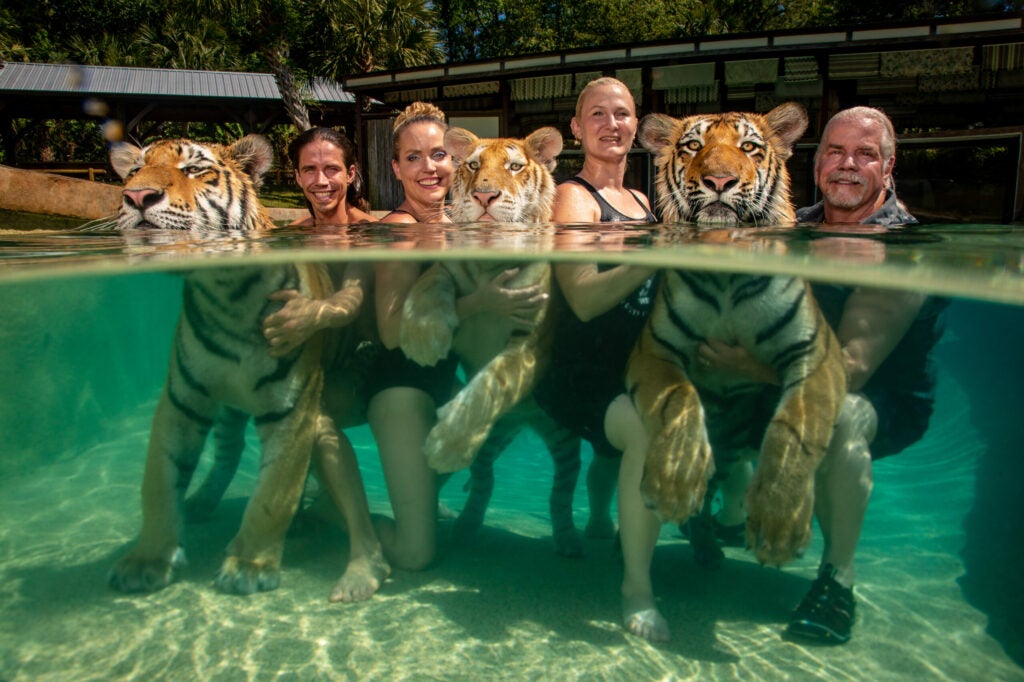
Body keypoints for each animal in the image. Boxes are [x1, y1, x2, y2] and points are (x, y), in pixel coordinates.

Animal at [109, 135, 335, 593]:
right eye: (134, 171)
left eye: (194, 169)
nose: (137, 196)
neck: (229, 292)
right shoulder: (181, 401)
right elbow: (159, 482)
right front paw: (146, 561)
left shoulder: (294, 409)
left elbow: (274, 494)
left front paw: (249, 567)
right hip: (228, 411)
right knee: (230, 452)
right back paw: (200, 502)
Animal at [399, 125, 589, 552]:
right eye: (473, 165)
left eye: (515, 167)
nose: (484, 196)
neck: (490, 266)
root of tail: (524, 420)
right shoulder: (448, 270)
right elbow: (431, 280)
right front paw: (422, 334)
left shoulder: (532, 344)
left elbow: (490, 386)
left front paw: (445, 445)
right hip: (495, 440)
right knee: (485, 478)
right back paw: (466, 526)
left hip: (564, 440)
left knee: (561, 490)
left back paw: (570, 540)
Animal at [630, 102, 847, 561]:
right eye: (693, 145)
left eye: (749, 147)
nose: (719, 181)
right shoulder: (654, 349)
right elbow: (678, 399)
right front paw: (674, 484)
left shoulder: (818, 354)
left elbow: (796, 425)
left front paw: (780, 520)